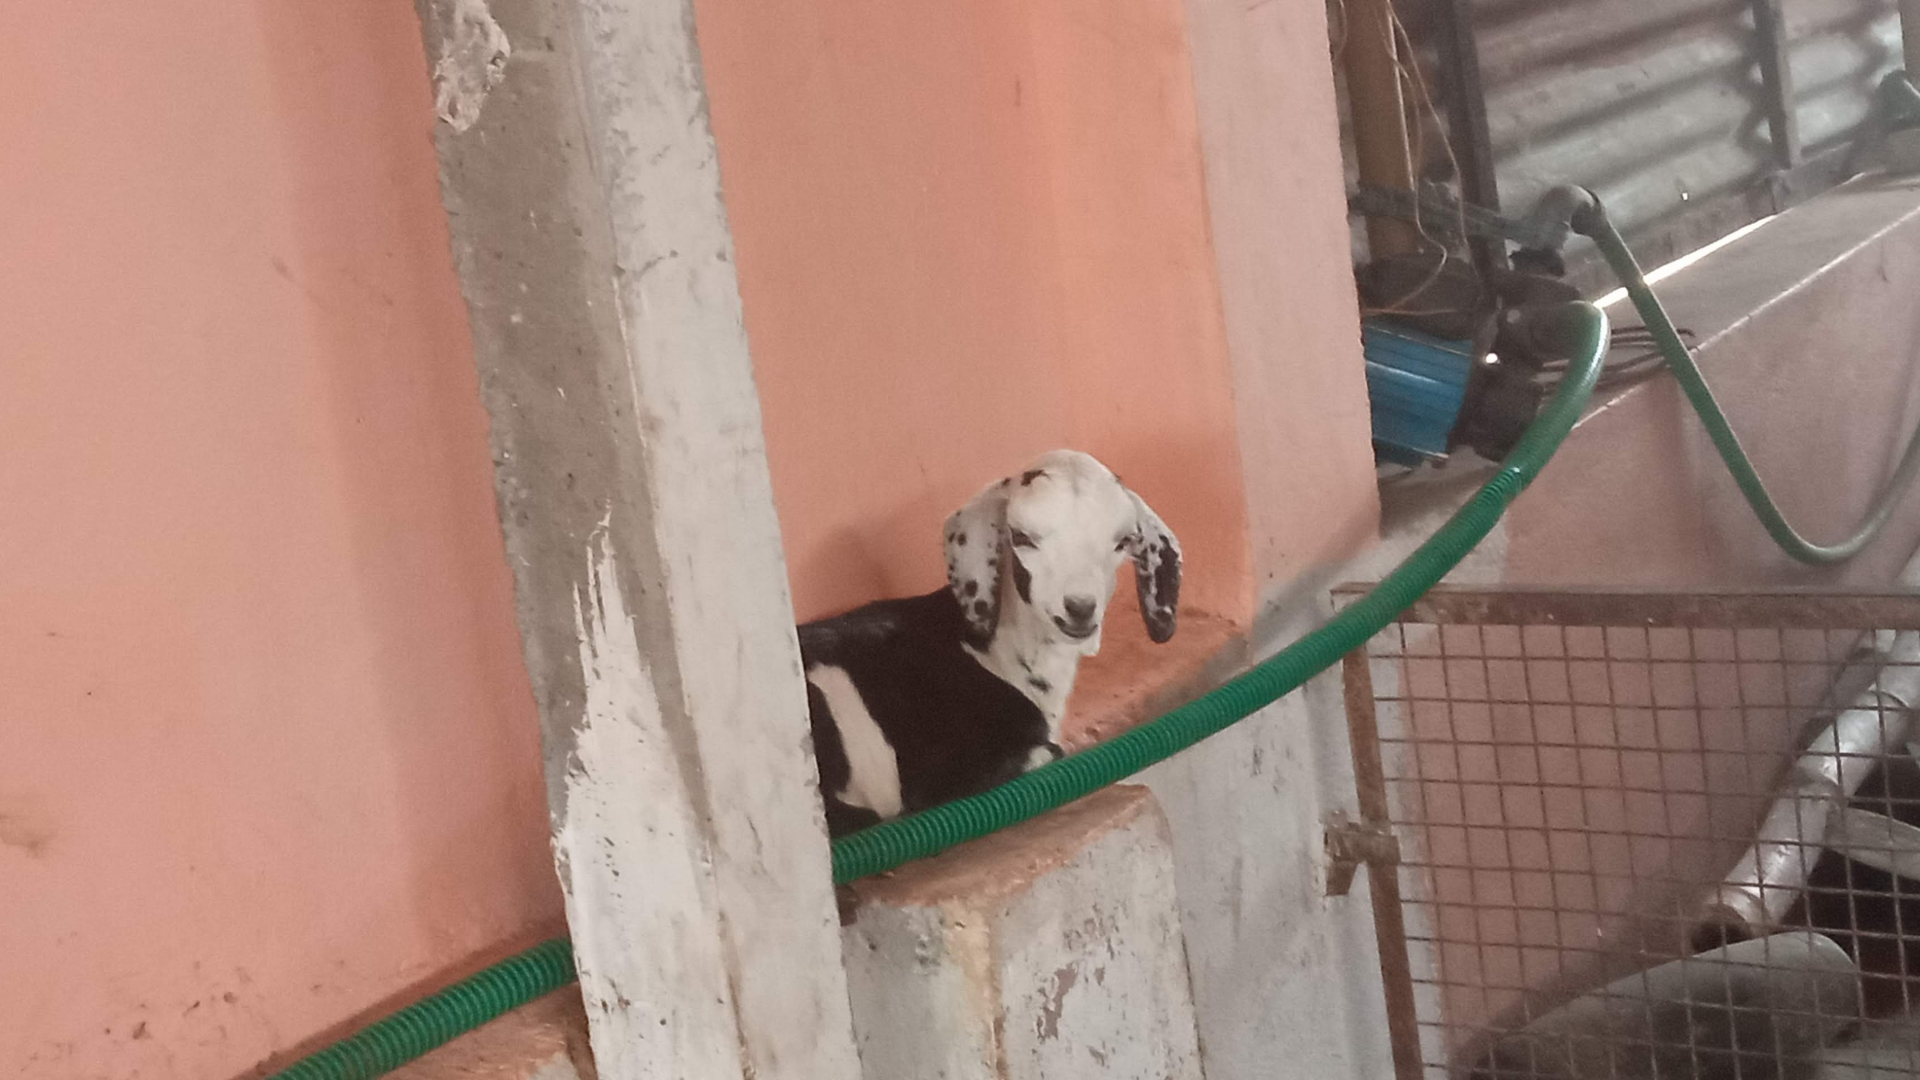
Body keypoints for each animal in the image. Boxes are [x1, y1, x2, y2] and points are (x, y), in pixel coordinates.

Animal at [799, 450, 1182, 838]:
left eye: (1123, 541)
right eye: (1021, 536)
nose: (1079, 608)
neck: (990, 652)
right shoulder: (944, 770)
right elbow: (1050, 751)